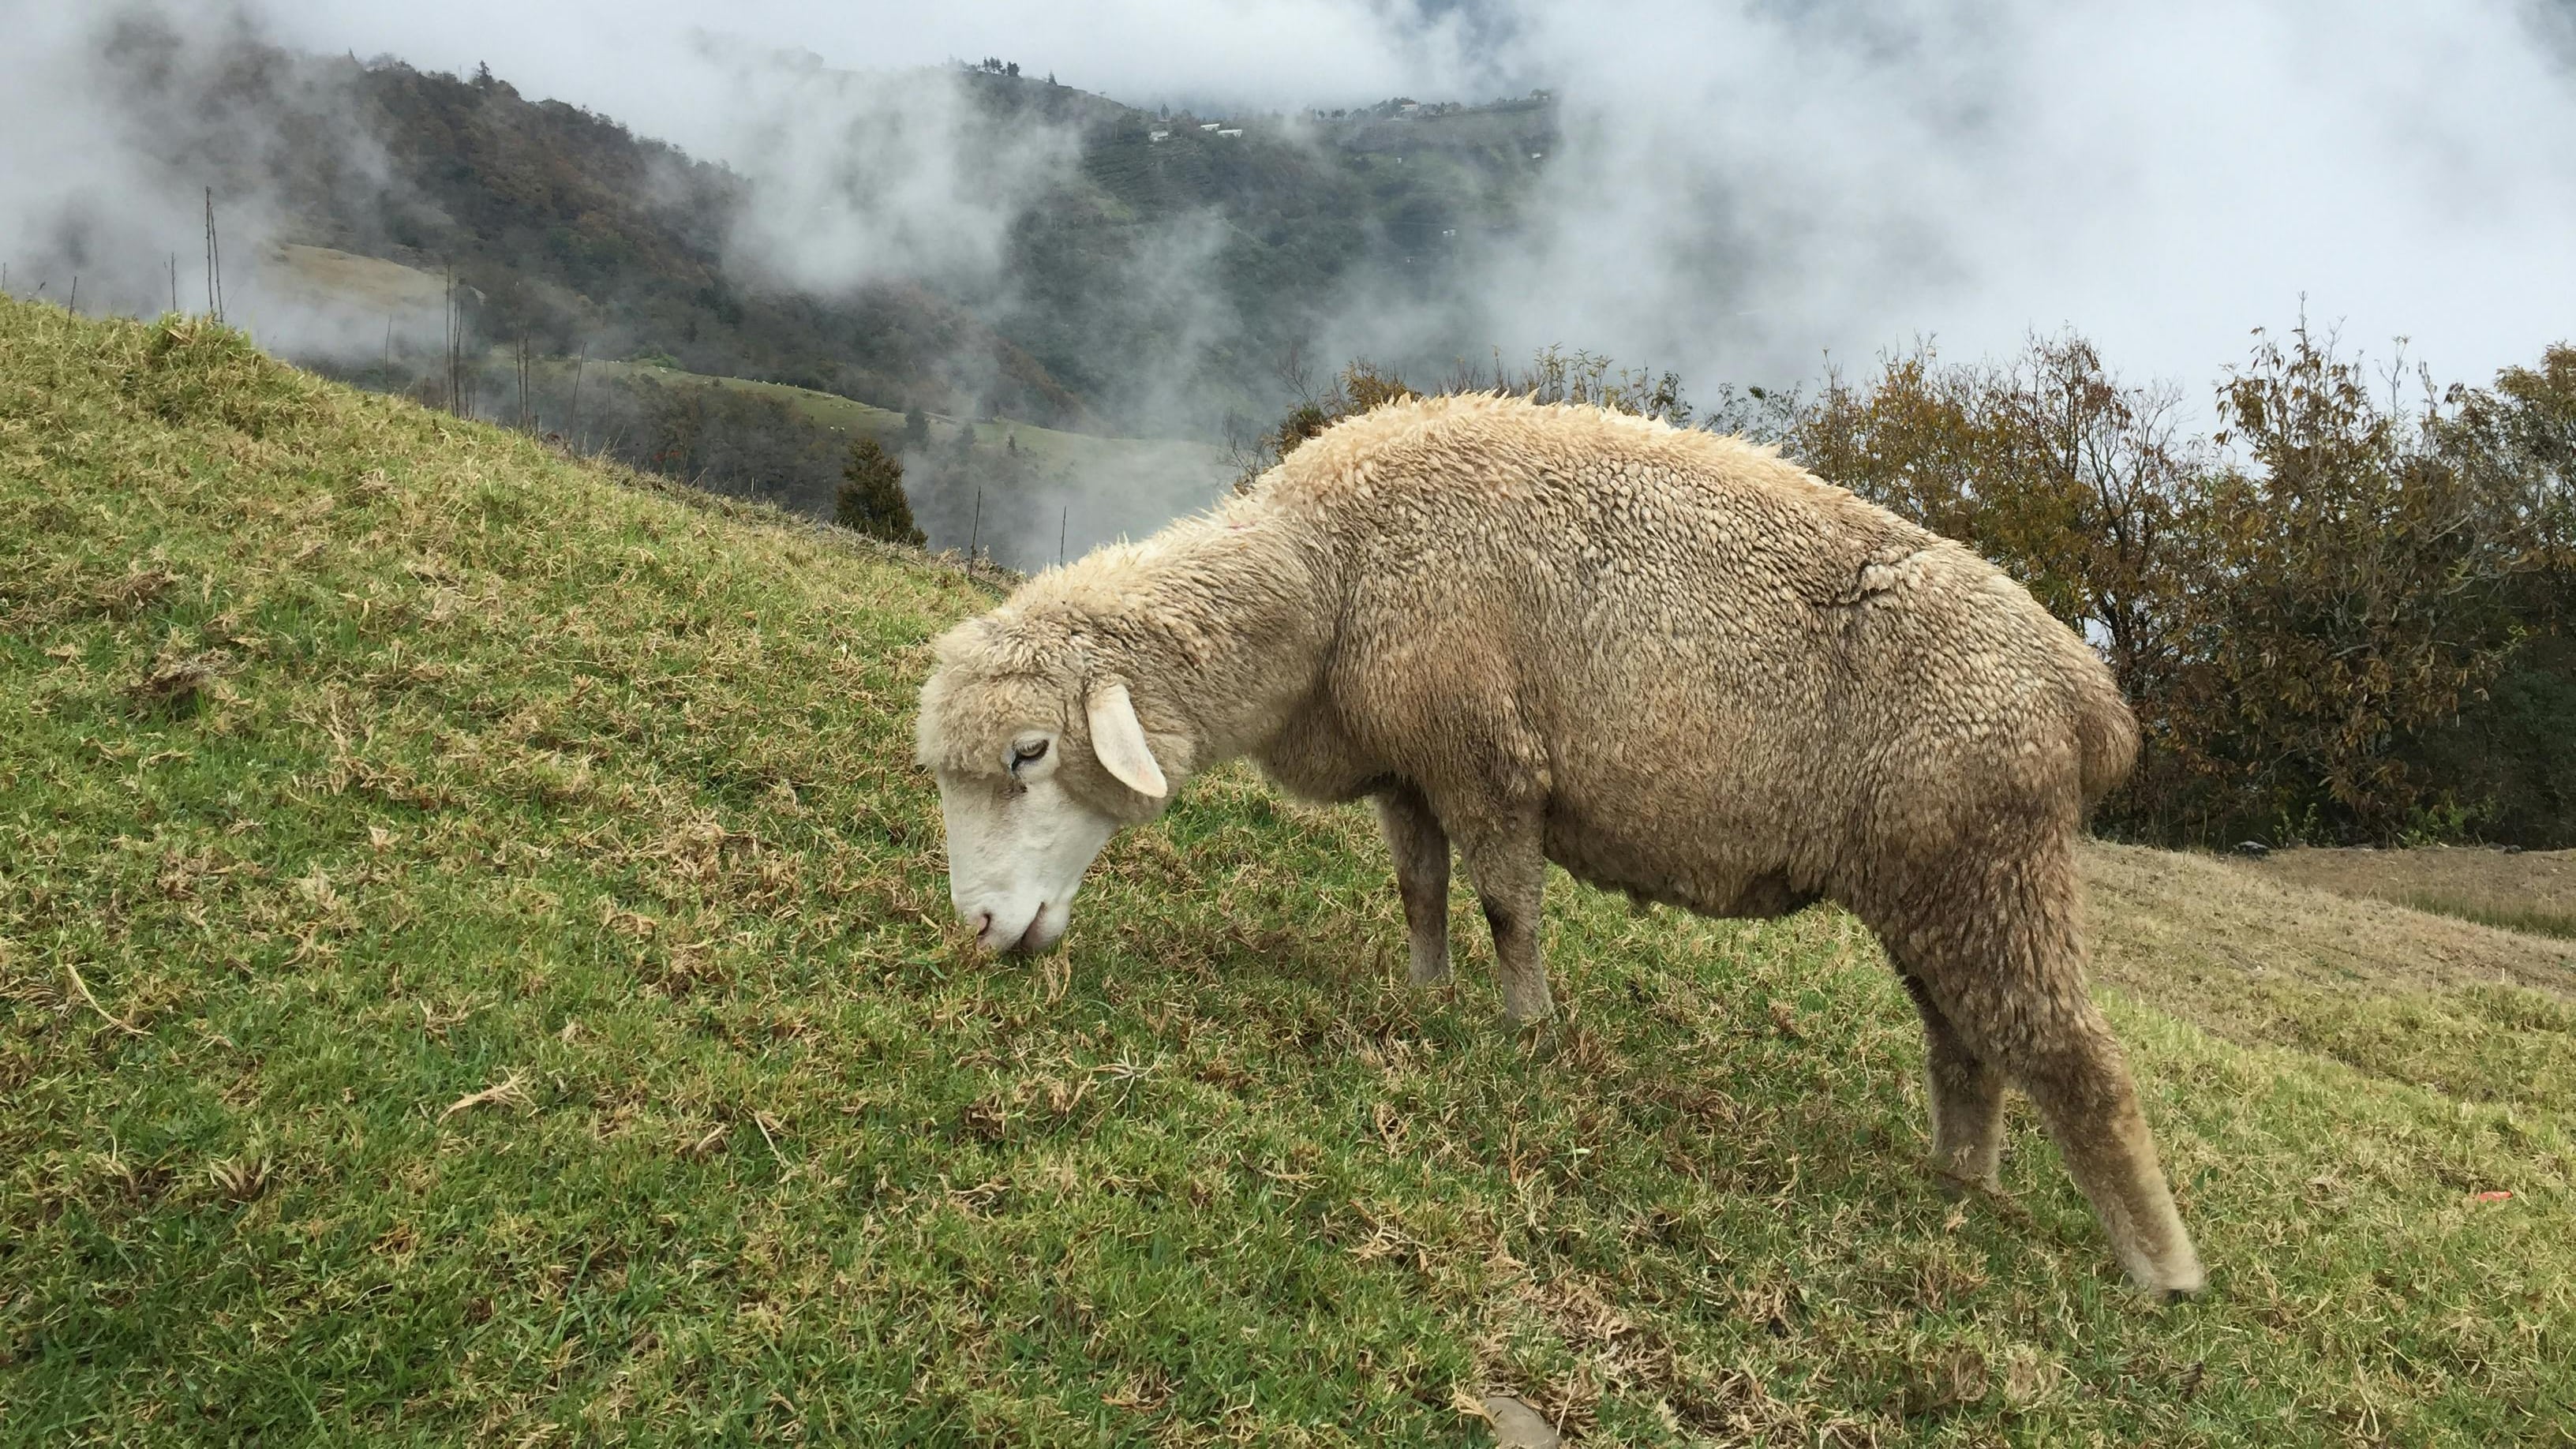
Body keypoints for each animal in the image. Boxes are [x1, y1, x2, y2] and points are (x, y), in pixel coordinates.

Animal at [914, 392, 2205, 1296]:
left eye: (1029, 754)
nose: (980, 928)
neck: (1330, 574)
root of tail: (2090, 701)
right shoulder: (1412, 770)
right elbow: (1420, 891)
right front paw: (1426, 995)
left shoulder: (1487, 757)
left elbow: (1506, 906)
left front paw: (1526, 1030)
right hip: (1938, 882)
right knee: (1969, 1050)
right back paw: (1960, 1187)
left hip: (1990, 868)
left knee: (2078, 1060)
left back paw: (2164, 1273)